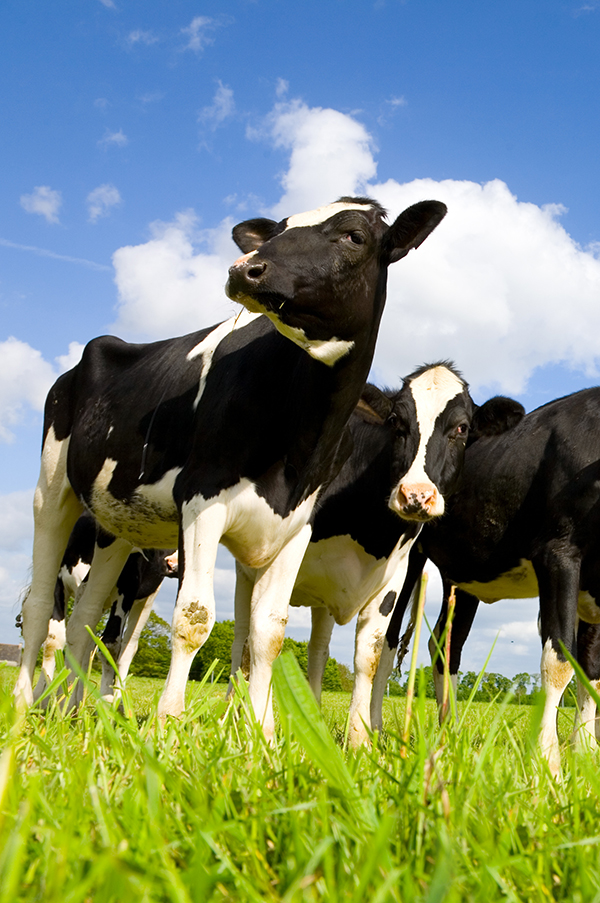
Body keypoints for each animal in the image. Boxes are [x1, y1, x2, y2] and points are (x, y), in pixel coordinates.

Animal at [12, 194, 446, 740]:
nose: (246, 268)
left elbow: (269, 632)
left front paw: (262, 734)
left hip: (115, 527)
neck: (300, 436)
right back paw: (24, 705)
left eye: (354, 236)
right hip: (52, 491)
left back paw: (67, 713)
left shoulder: (296, 526)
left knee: (84, 618)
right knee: (39, 606)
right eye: (278, 229)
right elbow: (194, 618)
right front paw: (168, 723)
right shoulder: (202, 501)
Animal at [232, 364, 524, 744]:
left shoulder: (396, 571)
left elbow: (369, 652)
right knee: (242, 638)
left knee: (319, 648)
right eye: (397, 421)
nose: (415, 495)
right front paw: (259, 730)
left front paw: (360, 740)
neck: (368, 525)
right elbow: (265, 631)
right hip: (248, 569)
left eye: (461, 428)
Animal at [382, 388, 600, 776]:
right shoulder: (558, 552)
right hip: (410, 554)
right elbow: (559, 661)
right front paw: (548, 764)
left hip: (464, 577)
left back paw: (449, 732)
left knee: (445, 644)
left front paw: (586, 757)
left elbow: (590, 670)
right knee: (390, 638)